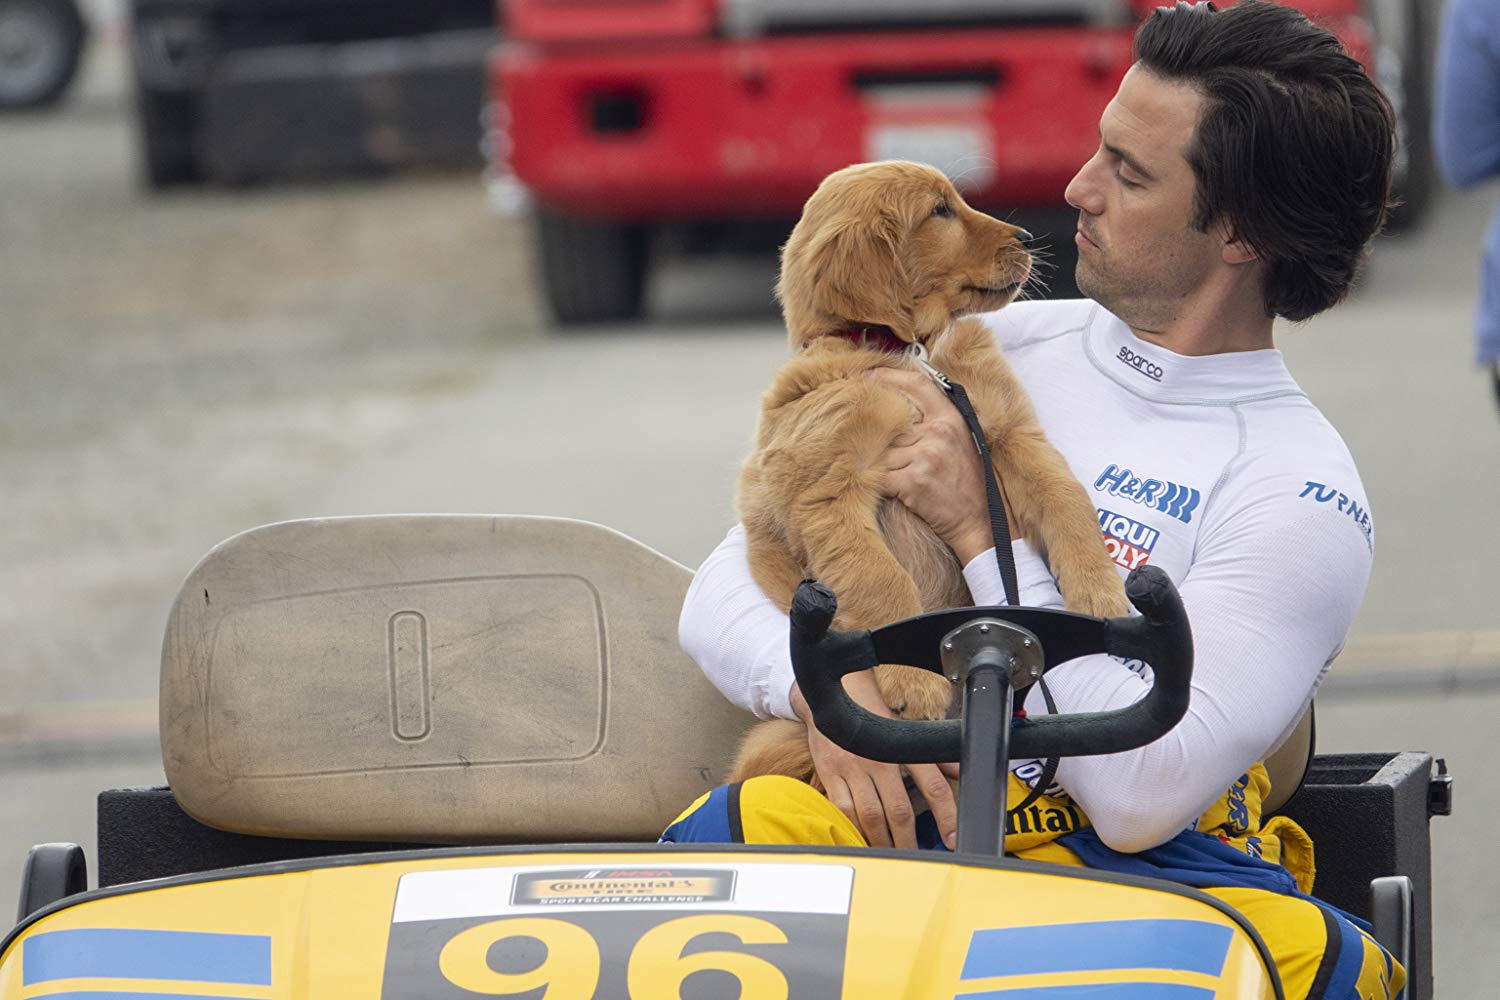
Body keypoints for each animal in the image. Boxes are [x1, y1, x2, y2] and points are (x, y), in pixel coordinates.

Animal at [726, 162, 1128, 791]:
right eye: (939, 212)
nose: (1028, 241)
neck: (908, 353)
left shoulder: (1008, 433)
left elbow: (1067, 501)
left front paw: (1100, 591)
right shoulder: (828, 493)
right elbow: (881, 580)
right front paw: (913, 681)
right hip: (772, 744)